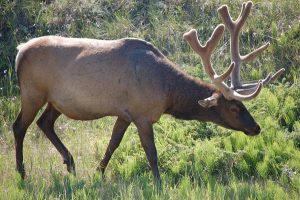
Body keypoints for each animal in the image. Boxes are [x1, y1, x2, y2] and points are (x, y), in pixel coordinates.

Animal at [12, 1, 284, 180]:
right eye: (235, 107)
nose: (256, 127)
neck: (167, 93)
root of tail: (19, 50)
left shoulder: (124, 113)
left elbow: (113, 143)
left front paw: (99, 172)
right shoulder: (142, 114)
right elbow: (151, 153)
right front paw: (158, 182)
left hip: (55, 101)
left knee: (44, 123)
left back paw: (70, 163)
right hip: (32, 92)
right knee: (19, 126)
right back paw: (22, 173)